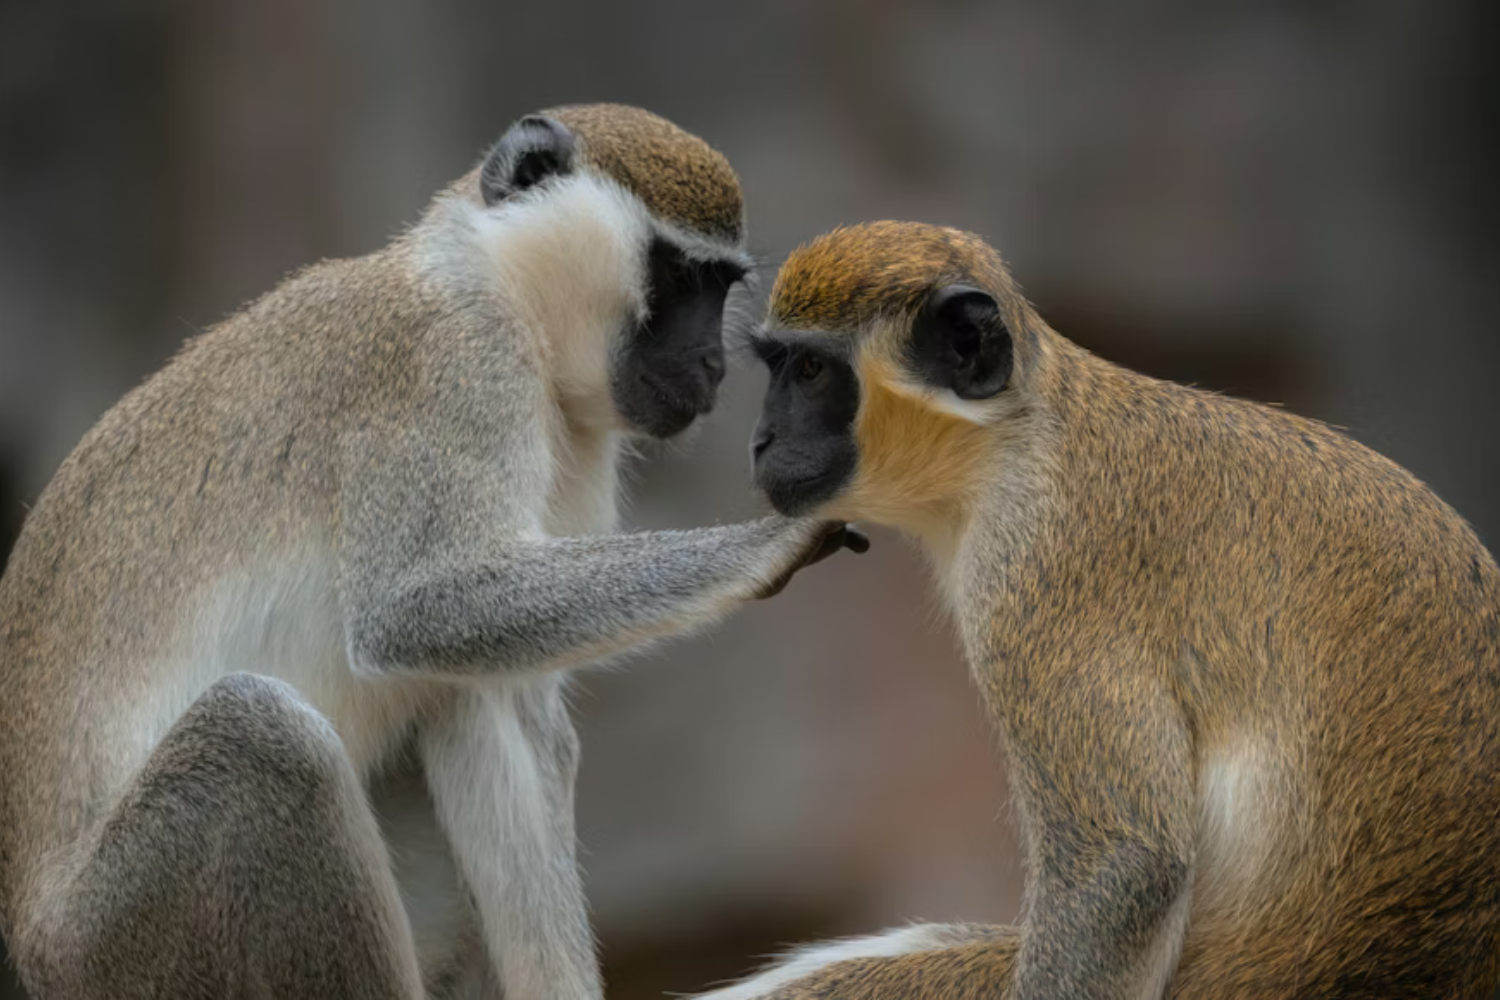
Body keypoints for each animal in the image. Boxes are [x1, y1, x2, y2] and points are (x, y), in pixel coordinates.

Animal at [0, 104, 865, 1000]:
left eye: (720, 284)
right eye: (681, 277)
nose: (712, 365)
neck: (497, 284)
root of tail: (37, 950)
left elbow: (513, 695)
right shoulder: (451, 363)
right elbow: (417, 609)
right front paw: (773, 542)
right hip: (131, 935)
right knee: (269, 729)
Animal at [692, 220, 1500, 999]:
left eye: (810, 371)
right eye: (780, 367)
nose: (762, 441)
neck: (1015, 435)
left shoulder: (1035, 565)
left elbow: (1124, 863)